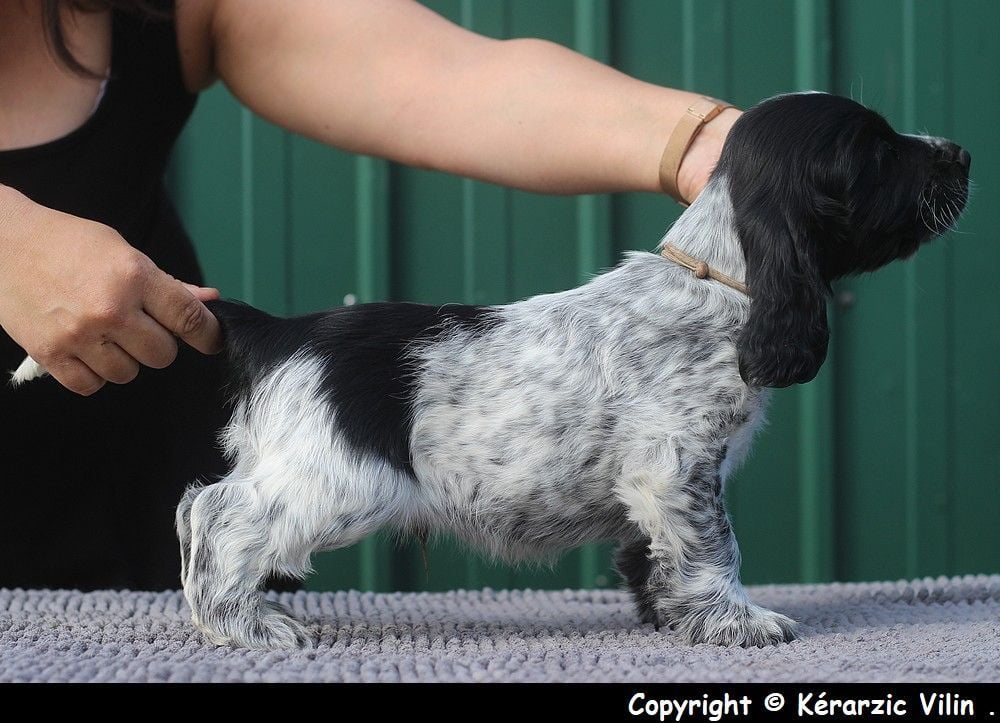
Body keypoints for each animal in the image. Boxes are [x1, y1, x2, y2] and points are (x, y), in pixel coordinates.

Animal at [11, 92, 972, 652]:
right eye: (877, 151)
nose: (960, 152)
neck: (718, 277)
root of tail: (283, 328)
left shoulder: (658, 486)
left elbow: (654, 552)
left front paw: (666, 615)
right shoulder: (679, 467)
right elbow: (715, 548)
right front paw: (736, 620)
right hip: (336, 476)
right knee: (216, 513)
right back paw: (242, 624)